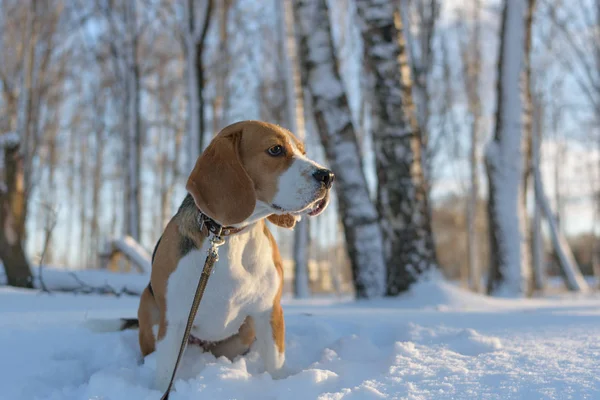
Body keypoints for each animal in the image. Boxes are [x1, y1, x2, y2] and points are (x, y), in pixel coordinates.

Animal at [137, 120, 332, 390]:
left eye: (303, 151)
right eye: (275, 150)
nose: (328, 176)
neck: (229, 236)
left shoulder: (269, 310)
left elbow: (275, 362)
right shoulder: (173, 319)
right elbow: (166, 374)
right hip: (148, 306)